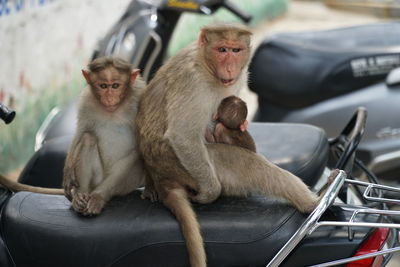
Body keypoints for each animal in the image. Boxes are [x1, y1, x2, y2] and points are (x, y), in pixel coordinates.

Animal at [0, 56, 145, 218]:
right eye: (103, 86)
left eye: (115, 86)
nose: (109, 97)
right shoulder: (86, 100)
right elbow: (81, 132)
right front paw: (68, 172)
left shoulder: (140, 94)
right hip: (96, 180)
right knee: (88, 139)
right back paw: (80, 196)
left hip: (125, 184)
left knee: (135, 156)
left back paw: (98, 197)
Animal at [136, 23, 320, 267]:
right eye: (222, 50)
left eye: (236, 50)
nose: (231, 68)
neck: (205, 64)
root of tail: (162, 177)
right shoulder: (192, 81)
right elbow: (182, 135)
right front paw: (210, 192)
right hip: (182, 165)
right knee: (246, 164)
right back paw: (311, 203)